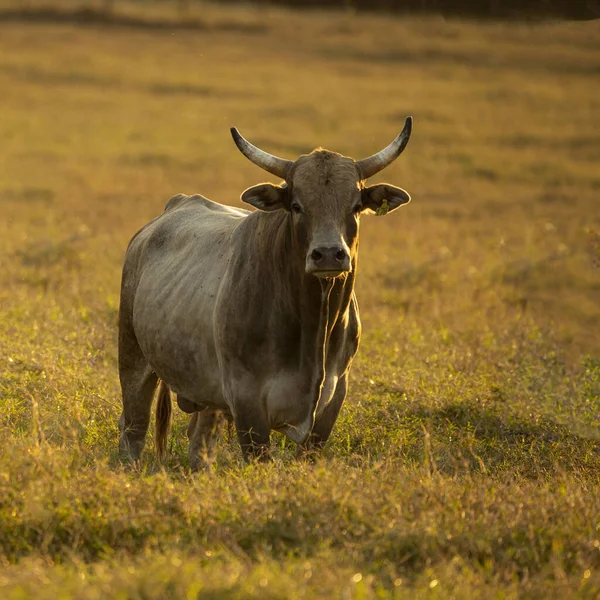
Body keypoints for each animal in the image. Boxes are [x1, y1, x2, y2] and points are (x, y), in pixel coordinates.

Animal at [119, 117, 414, 468]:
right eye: (297, 205)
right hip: (133, 358)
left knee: (200, 442)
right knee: (134, 427)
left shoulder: (334, 396)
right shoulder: (247, 402)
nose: (329, 254)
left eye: (356, 206)